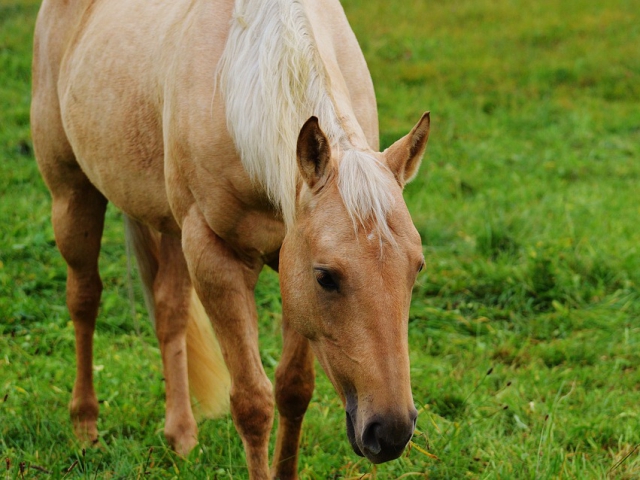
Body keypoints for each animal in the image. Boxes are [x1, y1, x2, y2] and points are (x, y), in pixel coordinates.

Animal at [30, 0, 430, 476]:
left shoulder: (289, 262)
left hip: (171, 227)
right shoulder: (216, 257)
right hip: (73, 197)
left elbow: (294, 389)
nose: (390, 432)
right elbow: (252, 403)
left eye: (416, 269)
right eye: (326, 277)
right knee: (84, 299)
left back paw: (181, 434)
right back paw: (85, 425)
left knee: (169, 311)